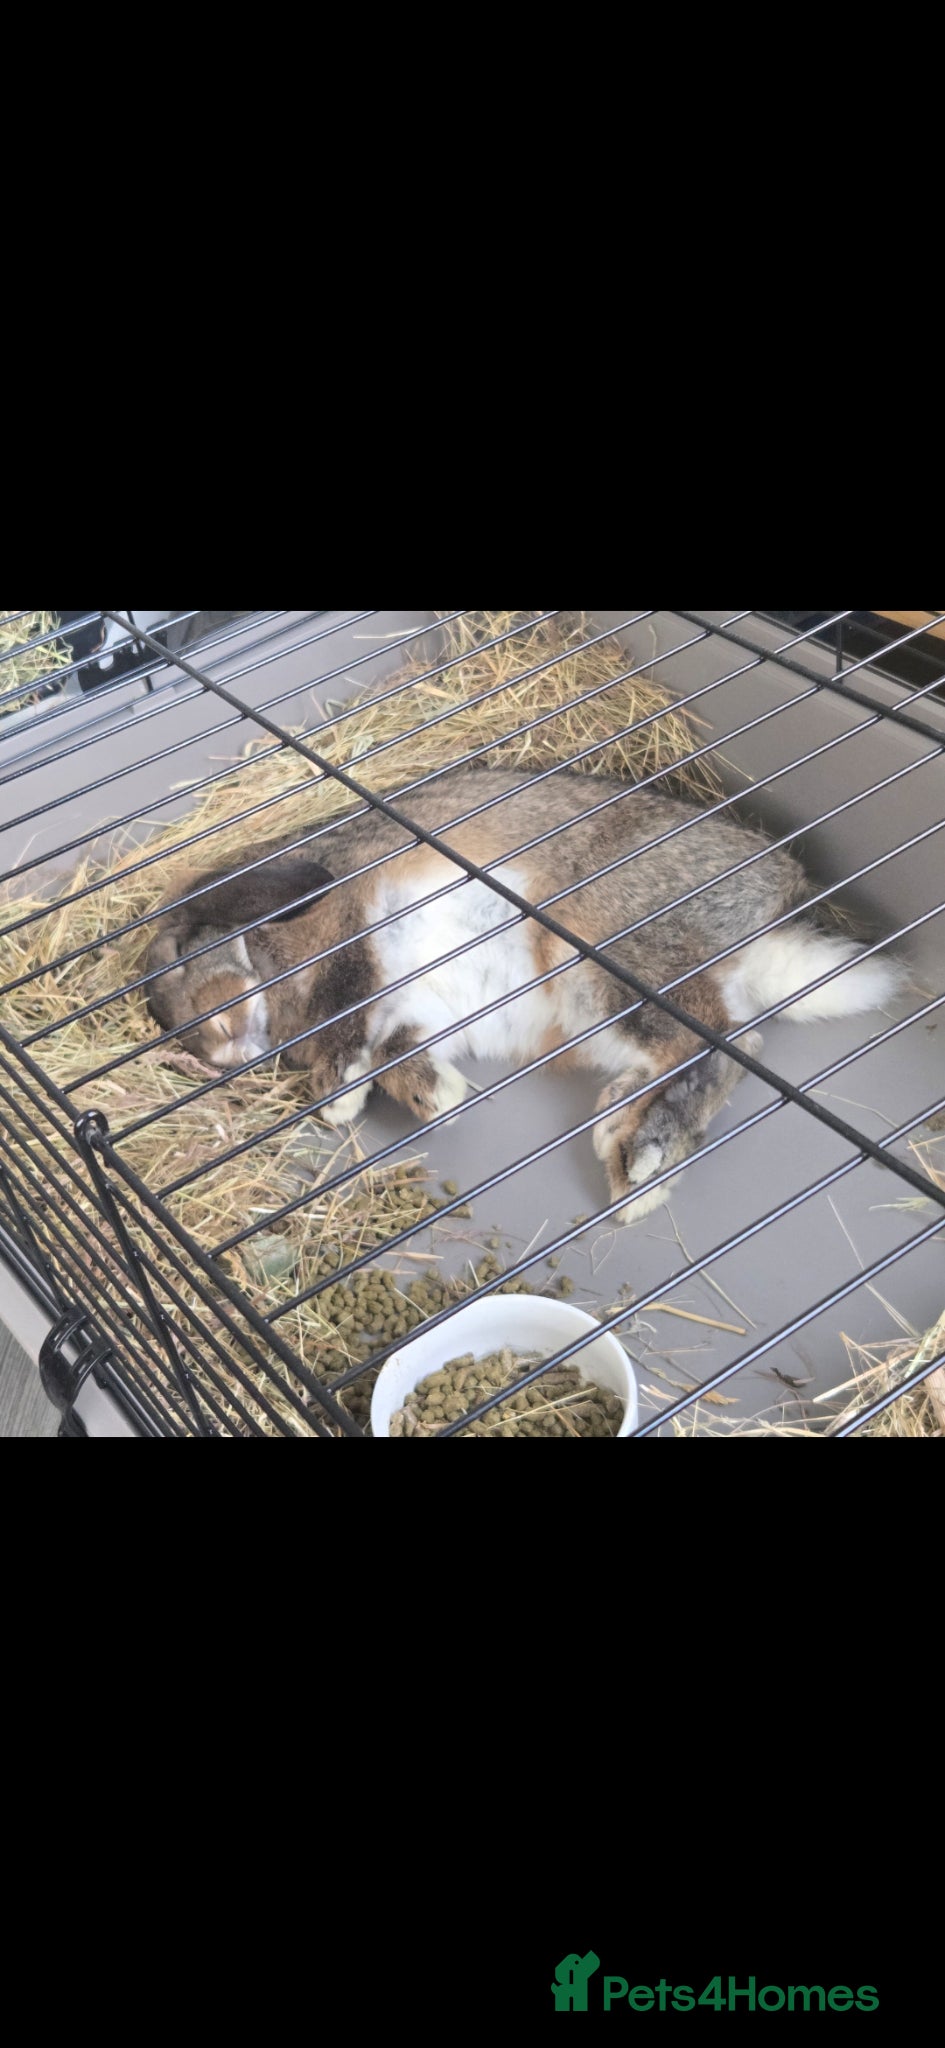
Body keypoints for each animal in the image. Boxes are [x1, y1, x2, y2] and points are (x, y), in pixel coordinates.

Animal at [145, 767, 904, 1221]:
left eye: (180, 954)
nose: (218, 1047)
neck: (274, 955)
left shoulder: (356, 917)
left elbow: (348, 999)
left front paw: (338, 1094)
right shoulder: (413, 1011)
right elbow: (397, 1047)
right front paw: (438, 1097)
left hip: (605, 949)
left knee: (721, 1041)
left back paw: (644, 1158)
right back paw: (625, 1127)